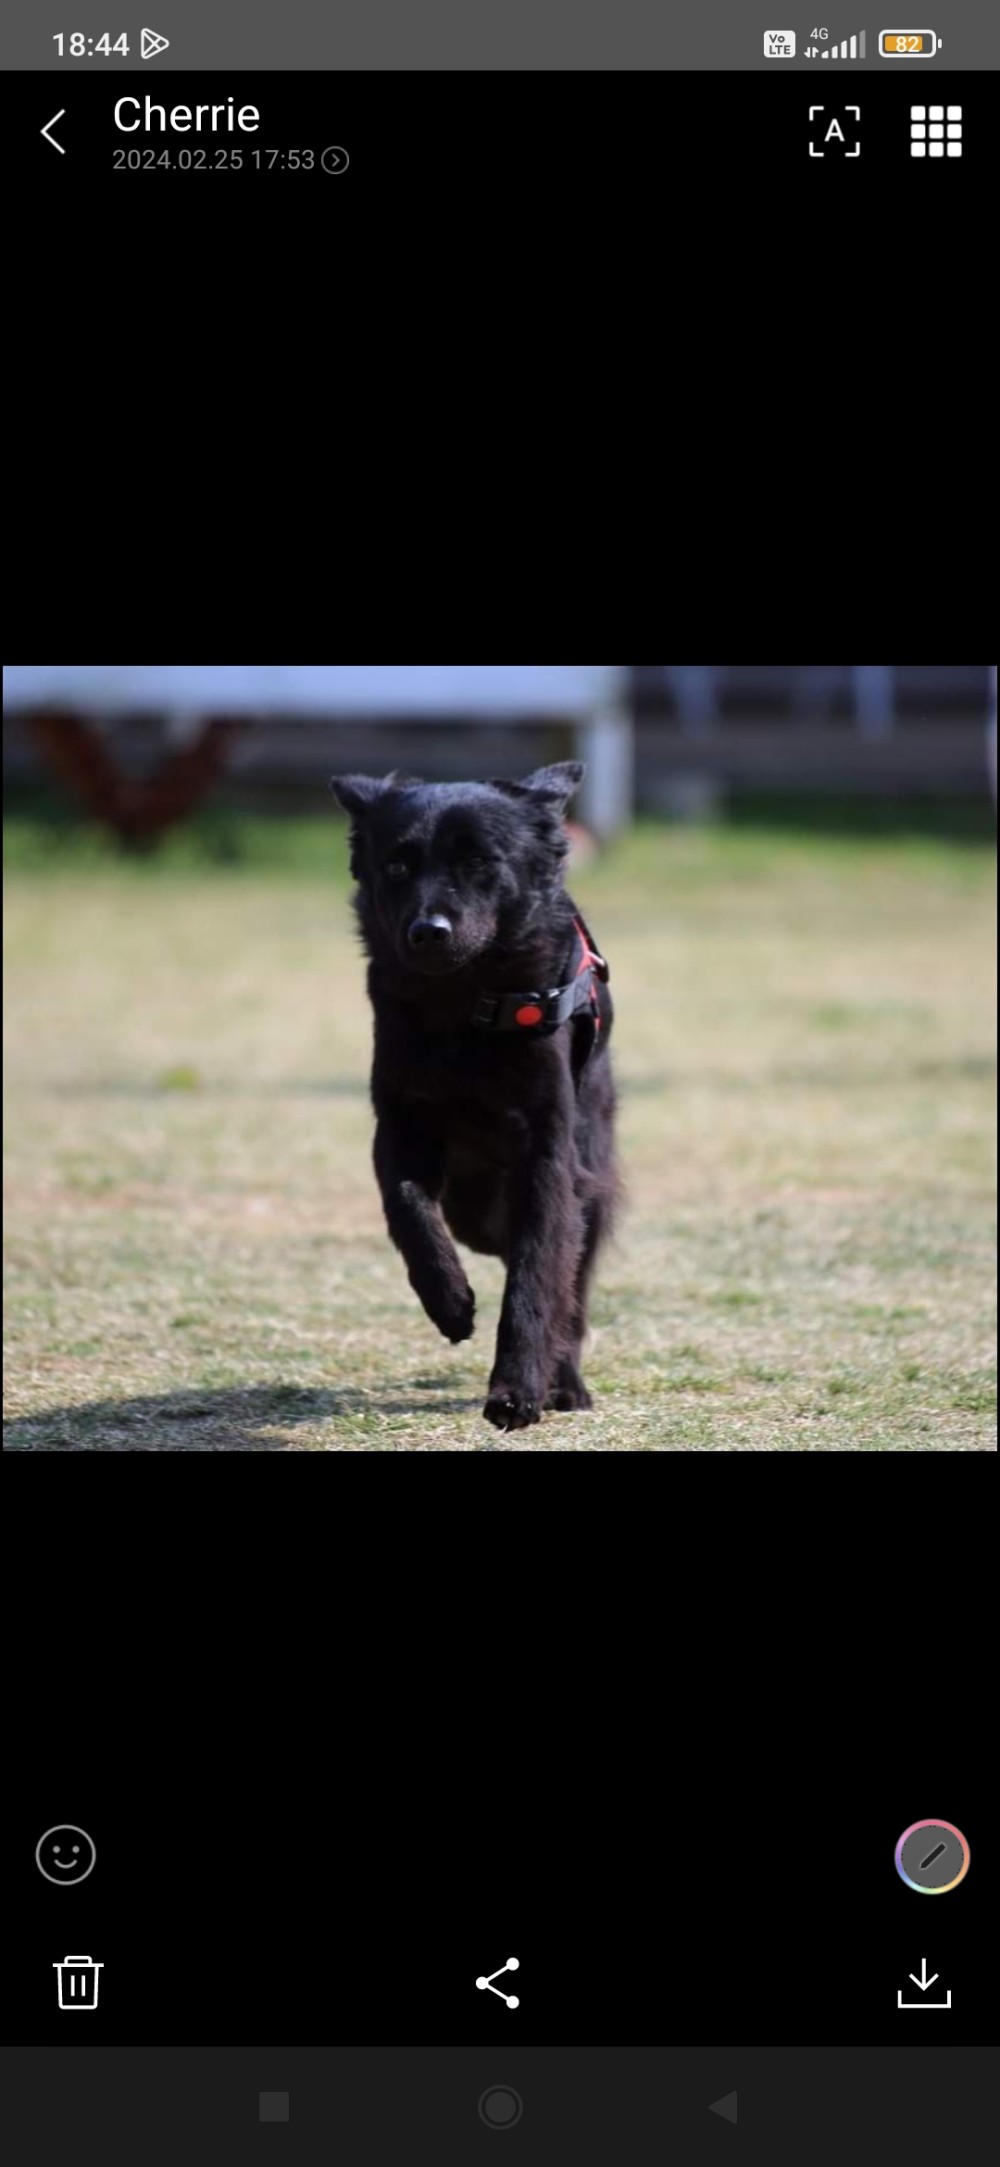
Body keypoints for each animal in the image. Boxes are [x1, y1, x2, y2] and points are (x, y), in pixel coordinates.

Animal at [329, 767, 616, 1438]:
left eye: (481, 861)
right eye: (398, 866)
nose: (428, 931)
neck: (461, 1007)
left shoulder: (549, 1155)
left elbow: (536, 1277)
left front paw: (517, 1392)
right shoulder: (400, 1123)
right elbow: (407, 1207)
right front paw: (451, 1301)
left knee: (568, 1282)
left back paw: (566, 1381)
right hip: (475, 1206)